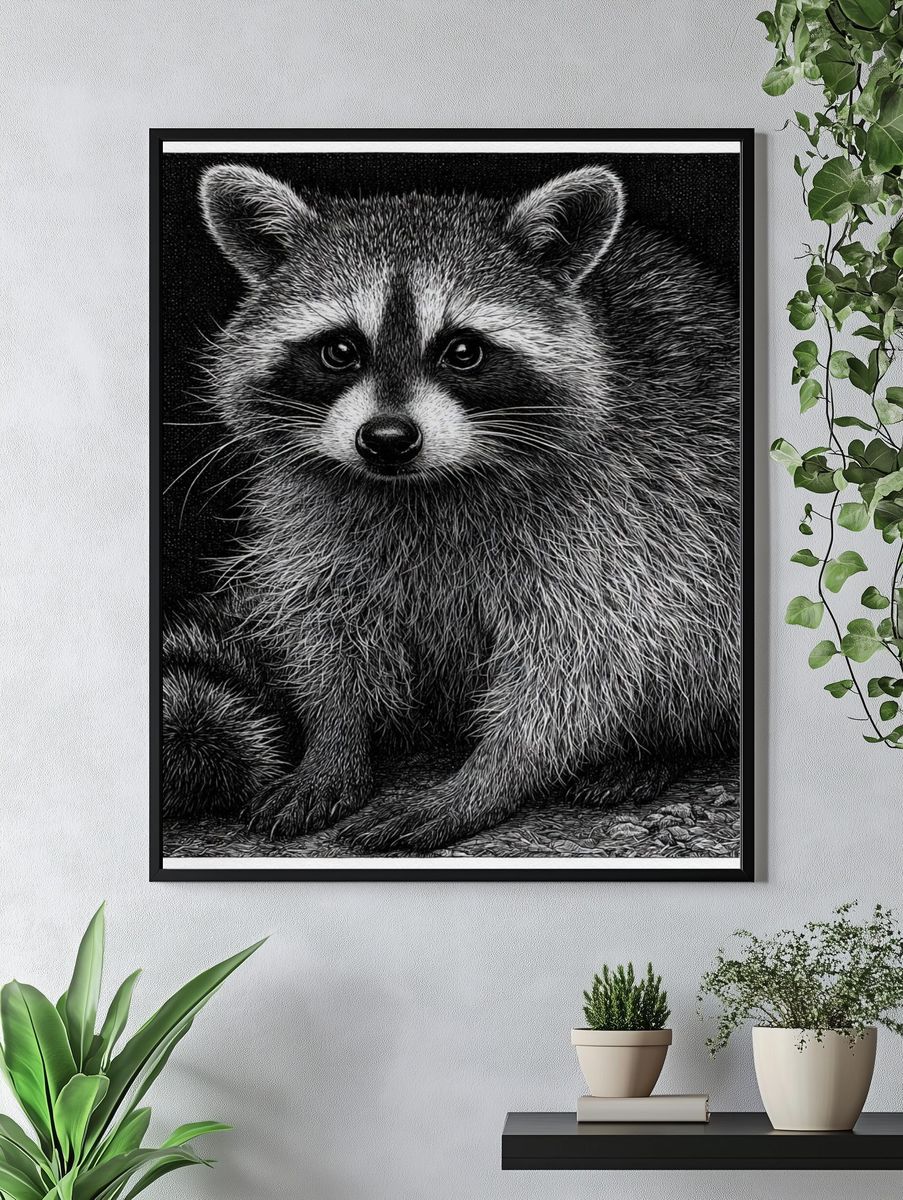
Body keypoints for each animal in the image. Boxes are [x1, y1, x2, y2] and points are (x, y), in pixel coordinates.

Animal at [168, 160, 740, 853]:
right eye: (340, 350)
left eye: (462, 351)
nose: (387, 438)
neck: (420, 487)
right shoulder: (311, 516)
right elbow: (325, 628)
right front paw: (333, 742)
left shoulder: (625, 515)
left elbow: (585, 662)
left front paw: (485, 778)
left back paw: (658, 747)